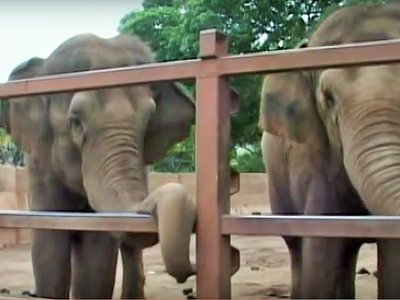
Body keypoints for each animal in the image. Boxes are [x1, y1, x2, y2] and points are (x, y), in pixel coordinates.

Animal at [3, 34, 241, 298]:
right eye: (75, 122)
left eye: (148, 121)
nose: (233, 256)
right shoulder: (40, 163)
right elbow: (49, 244)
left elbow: (97, 251)